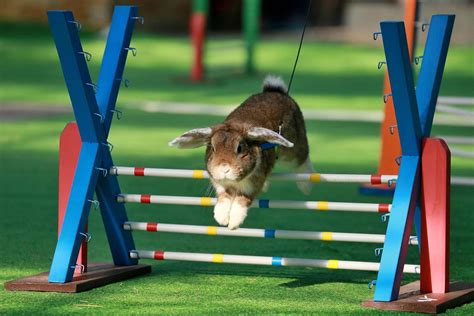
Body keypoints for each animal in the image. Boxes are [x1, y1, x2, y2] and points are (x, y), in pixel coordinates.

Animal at [168, 76, 312, 230]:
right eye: (212, 148)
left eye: (240, 148)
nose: (224, 168)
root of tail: (275, 90)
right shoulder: (220, 185)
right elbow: (224, 199)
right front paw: (221, 218)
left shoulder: (252, 186)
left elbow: (241, 200)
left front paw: (233, 223)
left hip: (292, 149)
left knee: (302, 159)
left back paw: (306, 186)